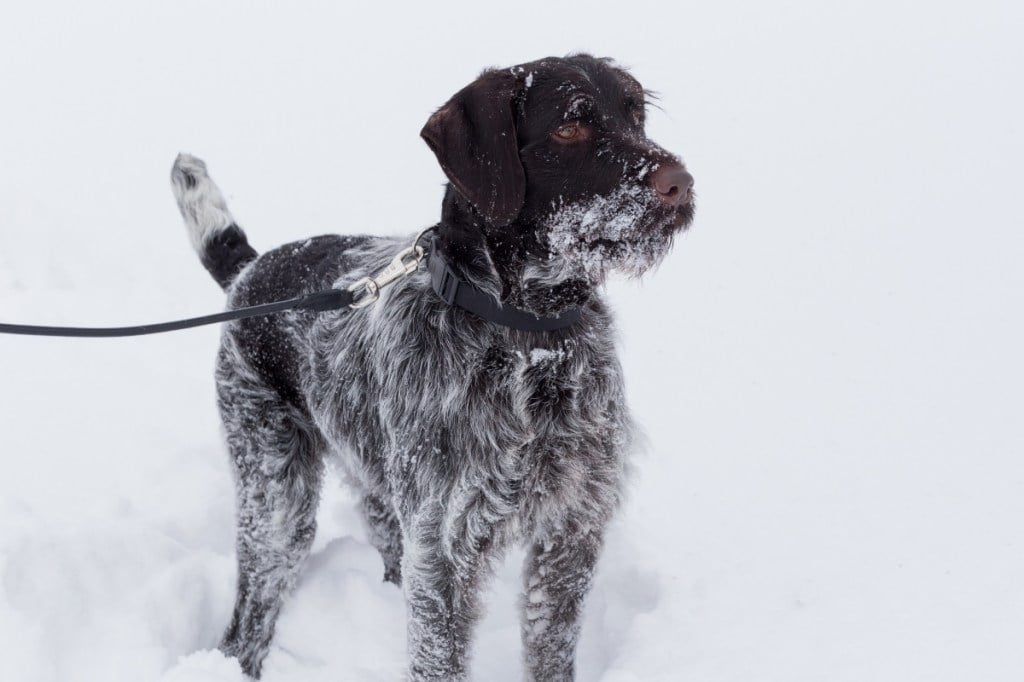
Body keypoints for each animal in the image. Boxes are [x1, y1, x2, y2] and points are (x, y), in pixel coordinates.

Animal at [172, 54, 696, 679]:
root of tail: (249, 274)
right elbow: (439, 657)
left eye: (635, 115)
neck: (533, 340)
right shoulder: (447, 547)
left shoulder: (571, 527)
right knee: (248, 621)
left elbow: (550, 650)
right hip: (275, 496)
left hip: (369, 474)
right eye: (571, 125)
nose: (681, 182)